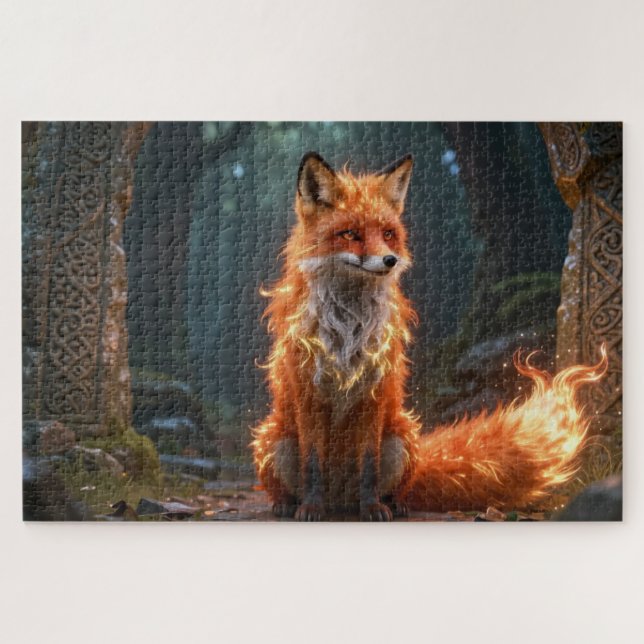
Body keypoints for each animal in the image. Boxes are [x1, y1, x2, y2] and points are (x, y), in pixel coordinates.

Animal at [252, 151, 606, 521]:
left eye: (389, 234)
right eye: (350, 234)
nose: (390, 260)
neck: (347, 328)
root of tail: (341, 501)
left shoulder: (374, 394)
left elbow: (369, 465)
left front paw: (373, 507)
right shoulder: (308, 393)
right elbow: (312, 464)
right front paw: (310, 506)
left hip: (401, 440)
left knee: (395, 486)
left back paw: (392, 504)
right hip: (274, 440)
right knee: (290, 483)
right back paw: (287, 504)